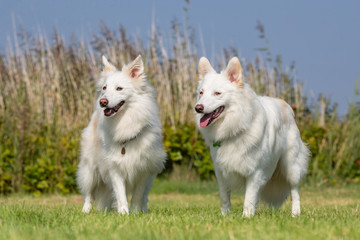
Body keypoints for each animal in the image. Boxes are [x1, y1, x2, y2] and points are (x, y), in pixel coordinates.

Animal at [77, 55, 166, 214]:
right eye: (104, 88)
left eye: (119, 88)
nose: (102, 102)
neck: (125, 121)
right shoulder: (114, 168)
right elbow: (120, 194)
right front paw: (124, 213)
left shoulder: (144, 170)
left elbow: (137, 196)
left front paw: (135, 213)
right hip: (90, 170)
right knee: (89, 195)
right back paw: (85, 211)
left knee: (145, 197)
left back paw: (144, 209)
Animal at [194, 56, 310, 218]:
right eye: (201, 93)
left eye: (217, 93)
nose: (198, 108)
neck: (235, 127)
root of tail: (286, 106)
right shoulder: (221, 173)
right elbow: (225, 198)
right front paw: (224, 216)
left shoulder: (255, 172)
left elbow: (248, 198)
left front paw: (247, 217)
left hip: (291, 167)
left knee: (295, 192)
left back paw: (295, 214)